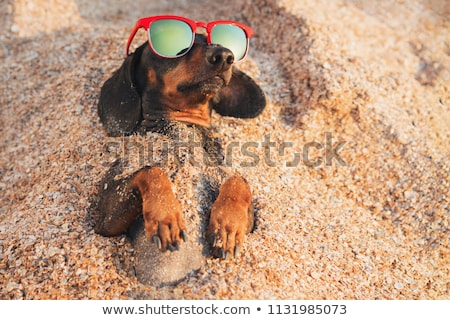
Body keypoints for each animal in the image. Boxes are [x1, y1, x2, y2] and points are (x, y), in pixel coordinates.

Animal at [93, 18, 266, 286]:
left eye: (215, 41)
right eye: (177, 47)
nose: (224, 56)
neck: (183, 126)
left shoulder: (251, 217)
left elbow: (238, 180)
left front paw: (227, 227)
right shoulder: (105, 218)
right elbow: (151, 170)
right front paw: (166, 215)